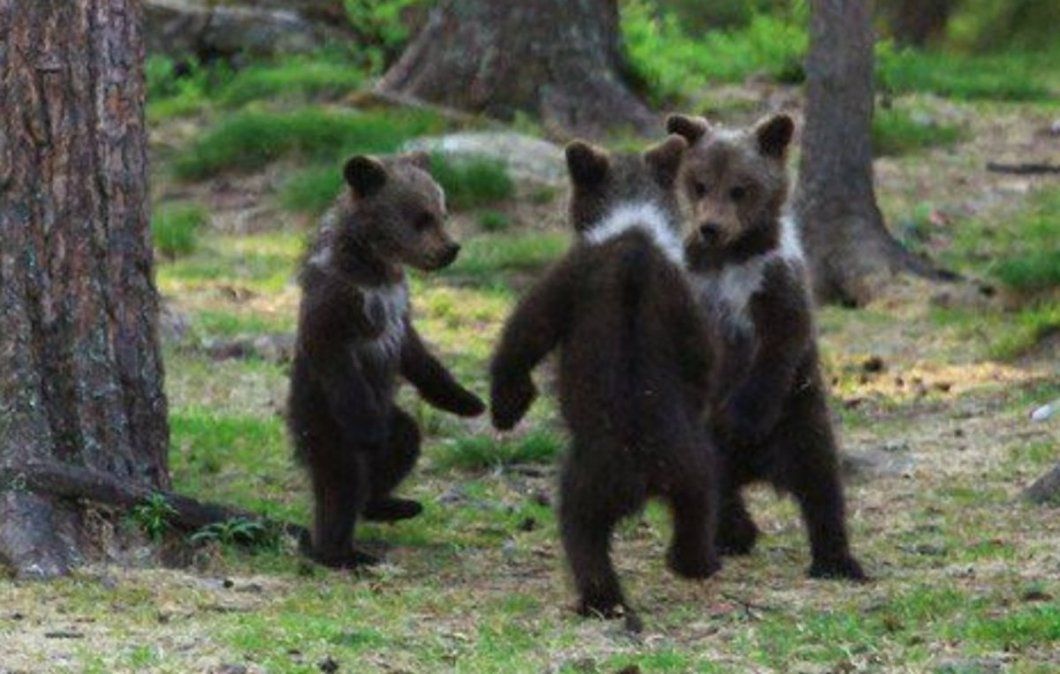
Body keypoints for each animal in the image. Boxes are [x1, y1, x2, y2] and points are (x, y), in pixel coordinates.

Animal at [288, 152, 485, 569]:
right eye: (420, 217)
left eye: (443, 211)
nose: (451, 248)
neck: (376, 266)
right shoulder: (337, 306)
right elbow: (335, 356)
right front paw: (368, 429)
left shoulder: (398, 307)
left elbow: (419, 357)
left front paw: (469, 401)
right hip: (325, 421)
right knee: (341, 480)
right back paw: (342, 552)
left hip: (389, 415)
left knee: (404, 441)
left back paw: (390, 504)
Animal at [489, 135, 721, 626]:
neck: (632, 224)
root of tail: (644, 468)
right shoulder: (685, 301)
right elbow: (703, 358)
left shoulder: (568, 279)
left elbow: (523, 333)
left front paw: (507, 406)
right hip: (694, 461)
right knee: (698, 506)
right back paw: (695, 562)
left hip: (589, 475)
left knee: (583, 534)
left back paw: (598, 600)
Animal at [666, 112, 866, 581]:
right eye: (700, 184)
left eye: (740, 187)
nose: (710, 227)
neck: (731, 257)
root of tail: (756, 469)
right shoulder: (697, 287)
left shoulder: (774, 281)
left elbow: (779, 342)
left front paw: (743, 417)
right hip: (706, 442)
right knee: (714, 486)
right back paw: (732, 533)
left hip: (798, 417)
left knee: (820, 482)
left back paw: (836, 559)